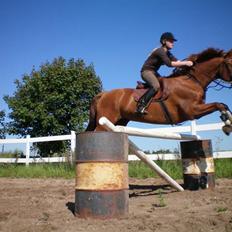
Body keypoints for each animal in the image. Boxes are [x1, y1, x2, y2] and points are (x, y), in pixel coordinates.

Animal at [85, 47, 232, 135]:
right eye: (230, 64)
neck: (192, 81)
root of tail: (103, 94)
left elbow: (223, 105)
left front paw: (227, 123)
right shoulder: (192, 111)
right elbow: (218, 105)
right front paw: (227, 124)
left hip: (119, 121)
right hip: (105, 122)